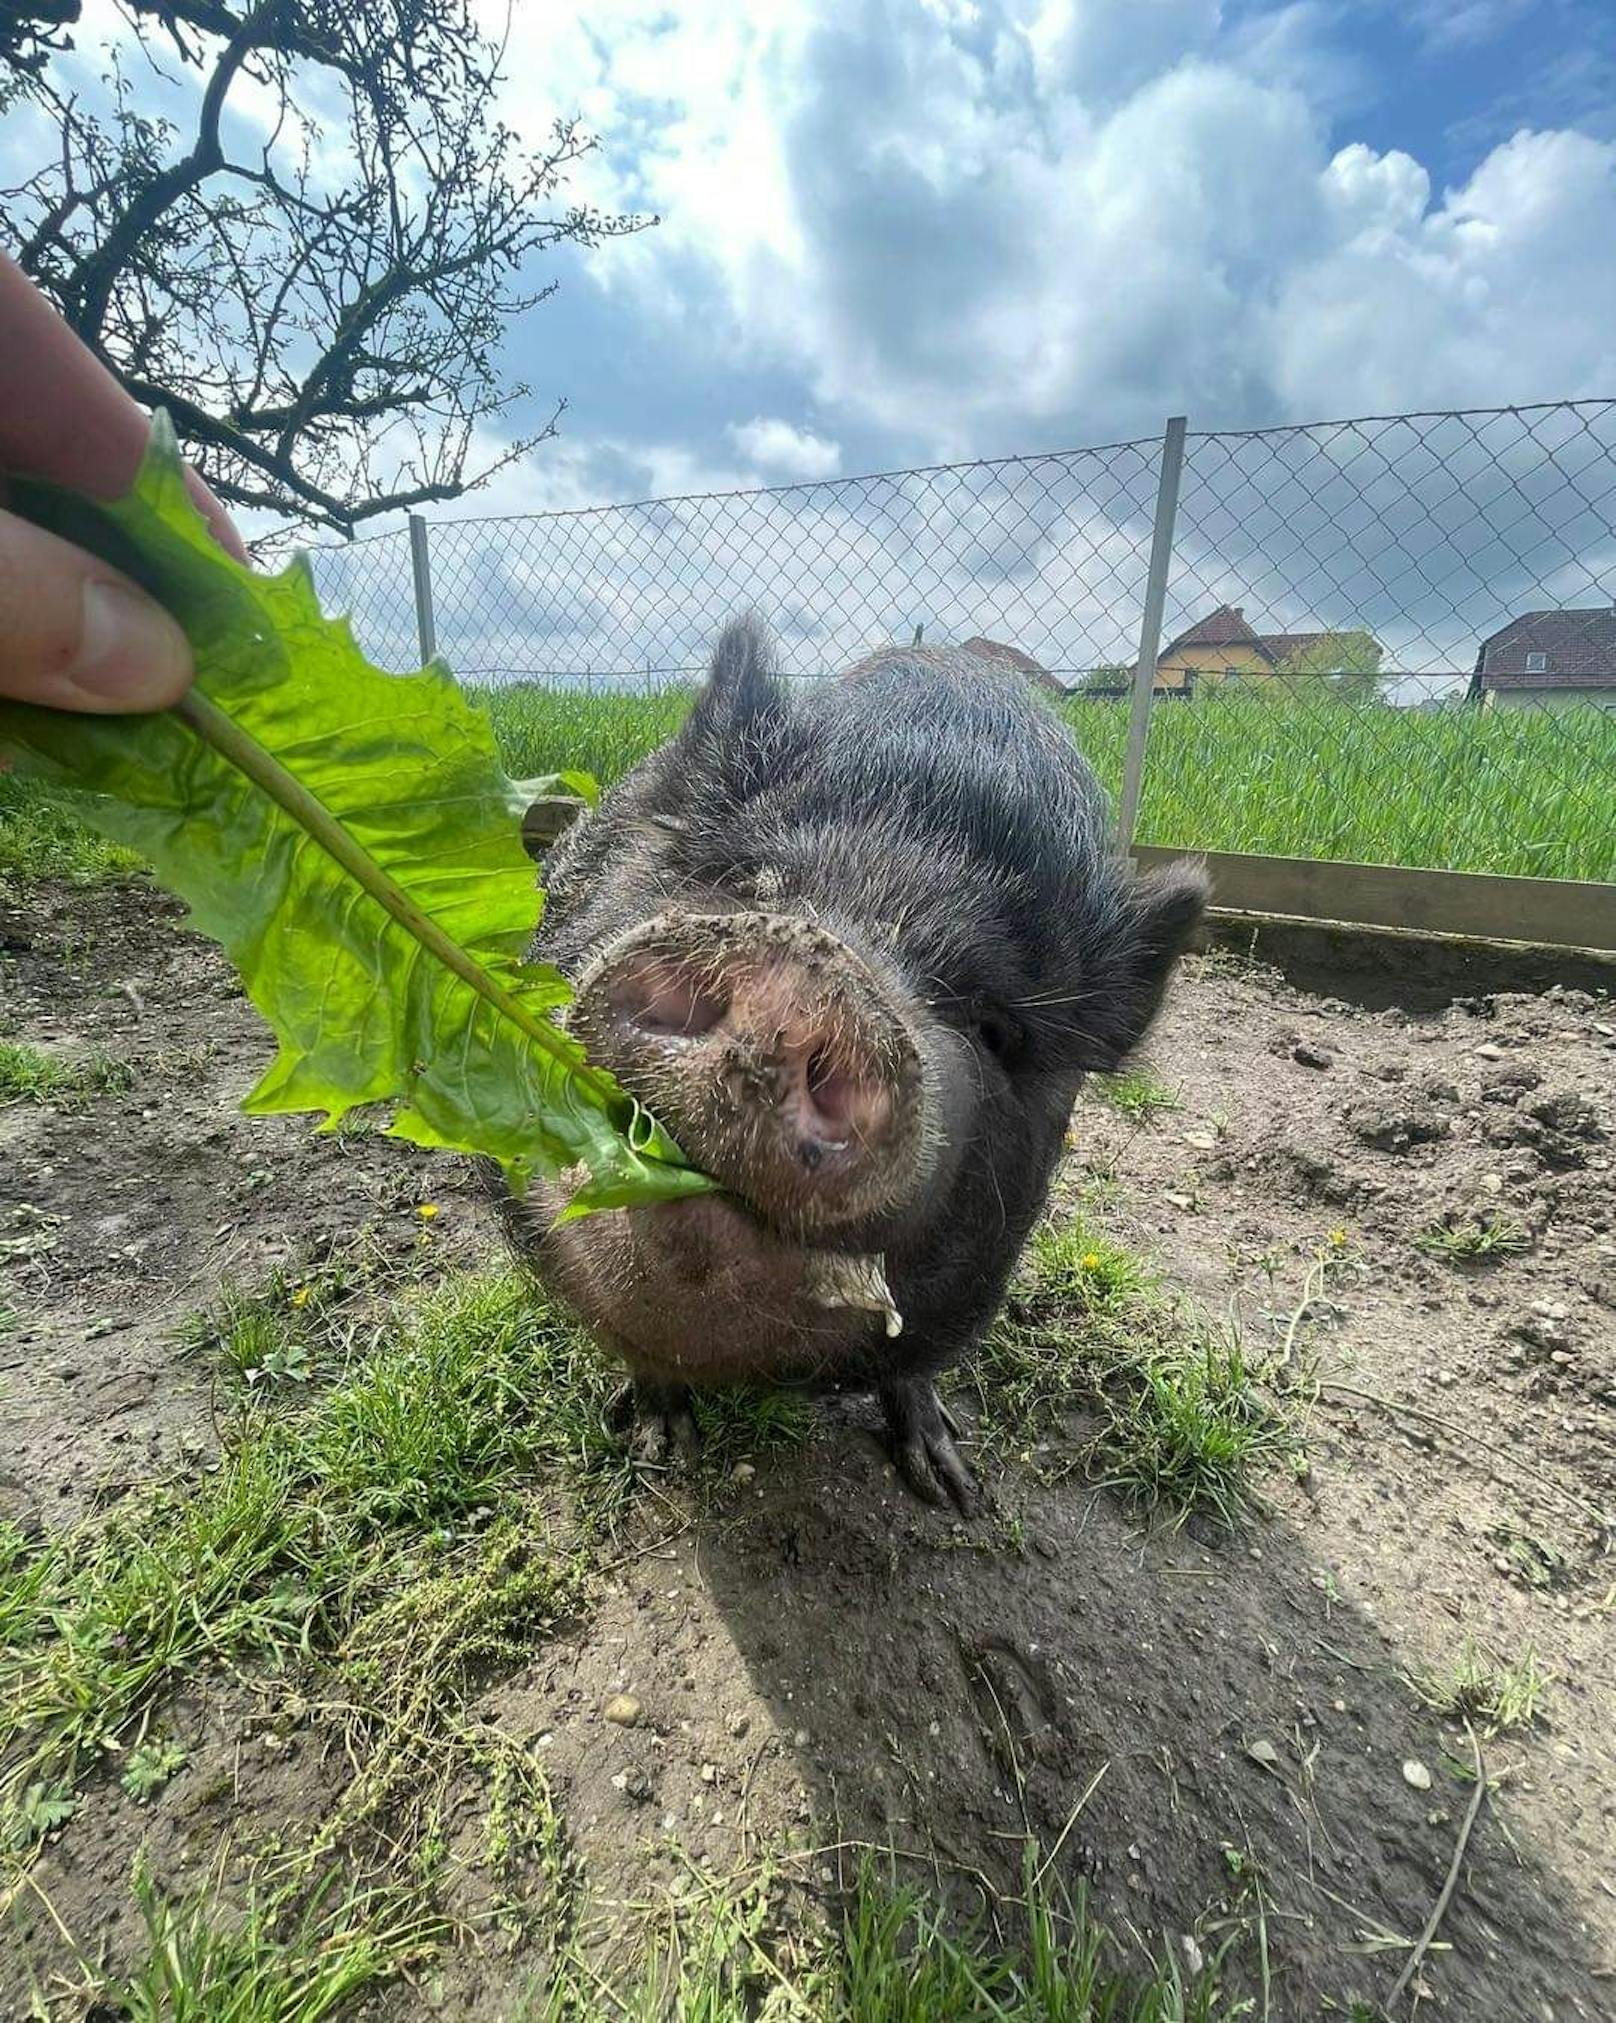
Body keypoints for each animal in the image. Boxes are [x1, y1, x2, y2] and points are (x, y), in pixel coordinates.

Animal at [499, 623, 1205, 1513]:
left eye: (992, 1026)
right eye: (751, 882)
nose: (800, 983)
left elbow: (912, 1368)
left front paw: (954, 1488)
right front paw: (662, 1452)